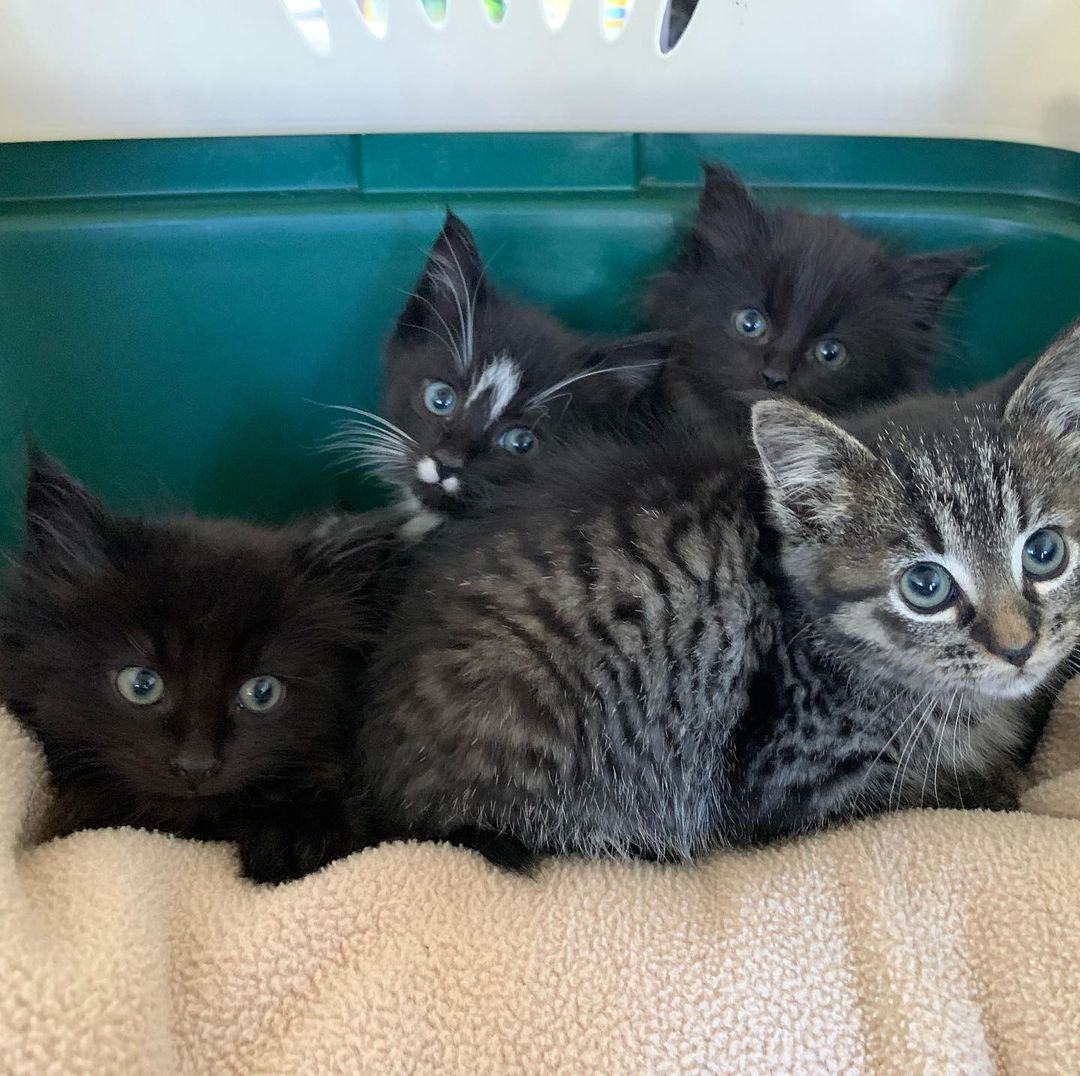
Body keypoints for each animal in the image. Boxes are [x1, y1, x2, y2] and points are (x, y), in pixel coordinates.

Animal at [356, 319, 1080, 855]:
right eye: (924, 585)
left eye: (1044, 553)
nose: (1019, 647)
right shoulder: (788, 781)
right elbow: (937, 792)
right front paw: (996, 783)